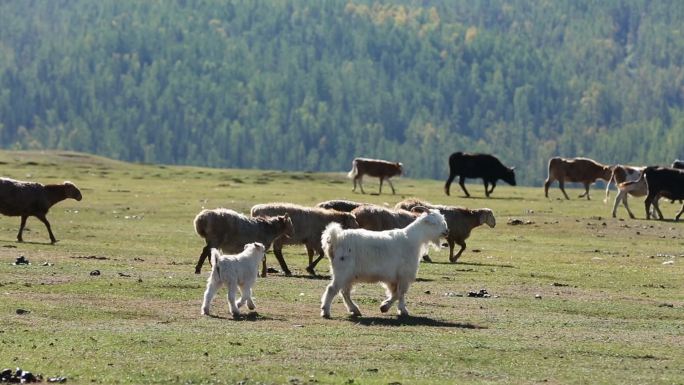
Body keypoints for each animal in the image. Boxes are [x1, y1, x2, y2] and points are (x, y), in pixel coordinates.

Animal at [320, 208, 448, 316]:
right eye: (434, 222)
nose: (446, 232)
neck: (412, 239)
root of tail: (336, 238)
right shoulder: (404, 275)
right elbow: (400, 293)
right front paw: (392, 308)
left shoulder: (394, 278)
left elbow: (396, 293)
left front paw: (393, 308)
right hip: (343, 272)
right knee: (332, 289)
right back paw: (326, 312)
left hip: (348, 276)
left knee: (344, 292)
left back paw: (354, 310)